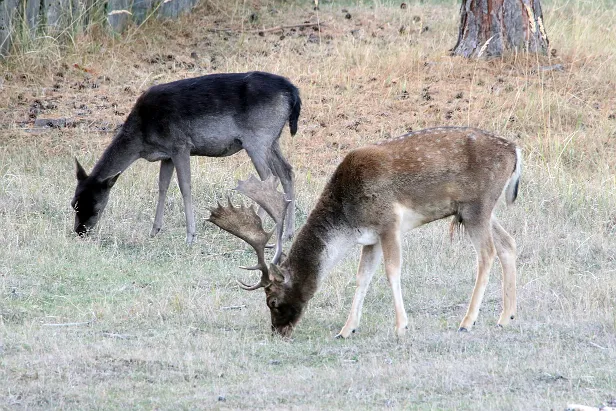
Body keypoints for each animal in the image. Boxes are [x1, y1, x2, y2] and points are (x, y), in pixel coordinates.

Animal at [71, 71, 300, 245]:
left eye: (97, 207)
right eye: (73, 204)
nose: (80, 231)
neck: (142, 137)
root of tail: (292, 91)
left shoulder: (180, 145)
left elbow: (185, 186)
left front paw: (190, 236)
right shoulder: (166, 155)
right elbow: (162, 186)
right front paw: (154, 230)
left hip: (256, 139)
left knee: (269, 178)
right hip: (272, 140)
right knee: (287, 171)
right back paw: (288, 232)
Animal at [209, 128, 524, 338]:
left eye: (272, 301)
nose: (278, 331)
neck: (348, 219)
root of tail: (515, 151)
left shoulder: (388, 222)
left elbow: (392, 271)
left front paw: (401, 326)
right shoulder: (370, 237)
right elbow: (362, 277)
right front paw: (347, 329)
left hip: (476, 206)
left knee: (487, 254)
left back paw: (468, 321)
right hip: (479, 210)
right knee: (508, 243)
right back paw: (505, 316)